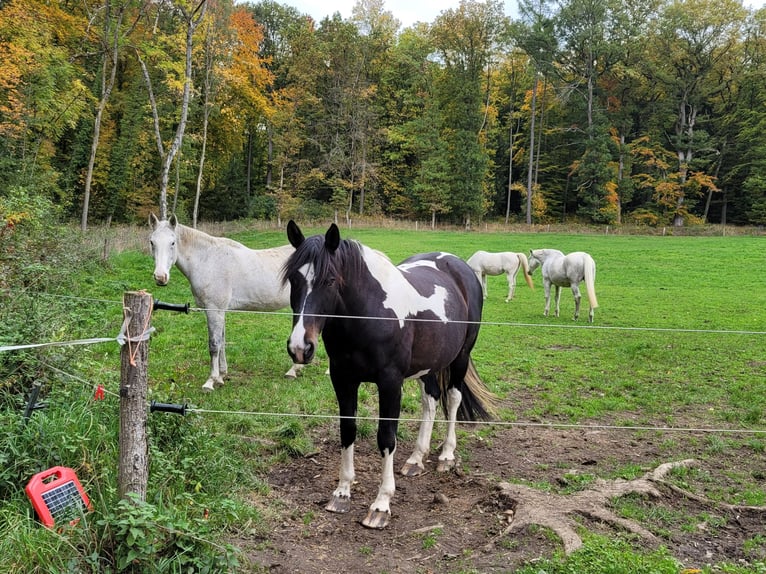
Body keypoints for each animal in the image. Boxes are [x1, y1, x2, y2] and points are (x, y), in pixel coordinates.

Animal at [149, 214, 307, 390]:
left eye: (173, 242)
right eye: (152, 242)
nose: (160, 277)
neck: (207, 260)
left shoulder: (213, 310)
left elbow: (214, 344)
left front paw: (210, 381)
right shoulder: (220, 311)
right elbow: (222, 342)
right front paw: (221, 376)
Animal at [281, 221, 497, 529]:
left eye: (330, 280)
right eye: (293, 280)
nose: (300, 347)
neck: (369, 316)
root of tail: (458, 266)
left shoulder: (390, 384)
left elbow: (386, 438)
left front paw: (381, 505)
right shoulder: (343, 380)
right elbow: (347, 431)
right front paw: (342, 493)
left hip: (461, 357)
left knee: (453, 399)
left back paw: (446, 455)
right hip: (430, 364)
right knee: (431, 401)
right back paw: (416, 459)